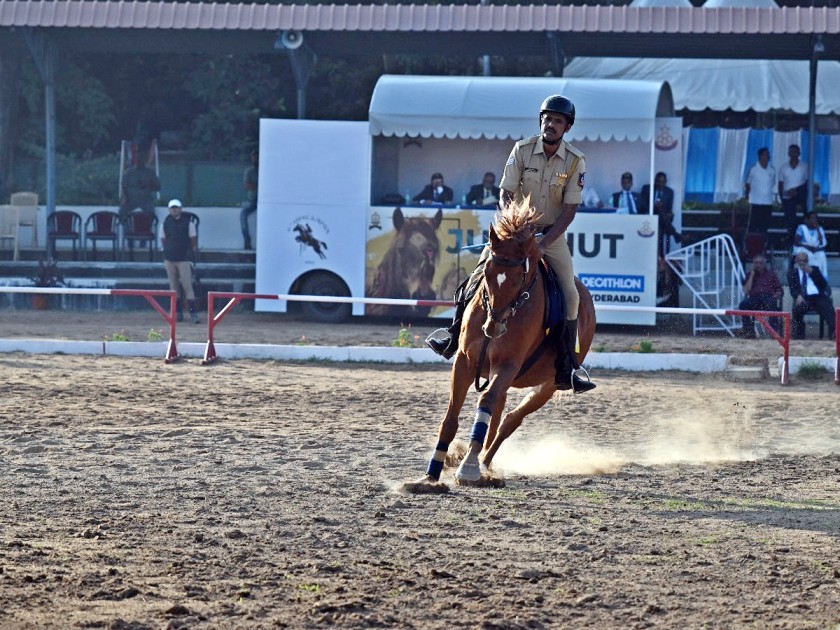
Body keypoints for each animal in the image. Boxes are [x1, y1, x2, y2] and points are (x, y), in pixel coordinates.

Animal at [406, 200, 596, 492]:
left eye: (520, 278)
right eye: (486, 272)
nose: (493, 328)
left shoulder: (507, 365)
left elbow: (486, 403)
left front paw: (468, 468)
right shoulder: (465, 360)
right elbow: (451, 418)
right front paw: (430, 476)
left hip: (548, 384)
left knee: (509, 419)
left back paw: (483, 464)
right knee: (497, 414)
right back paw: (482, 463)